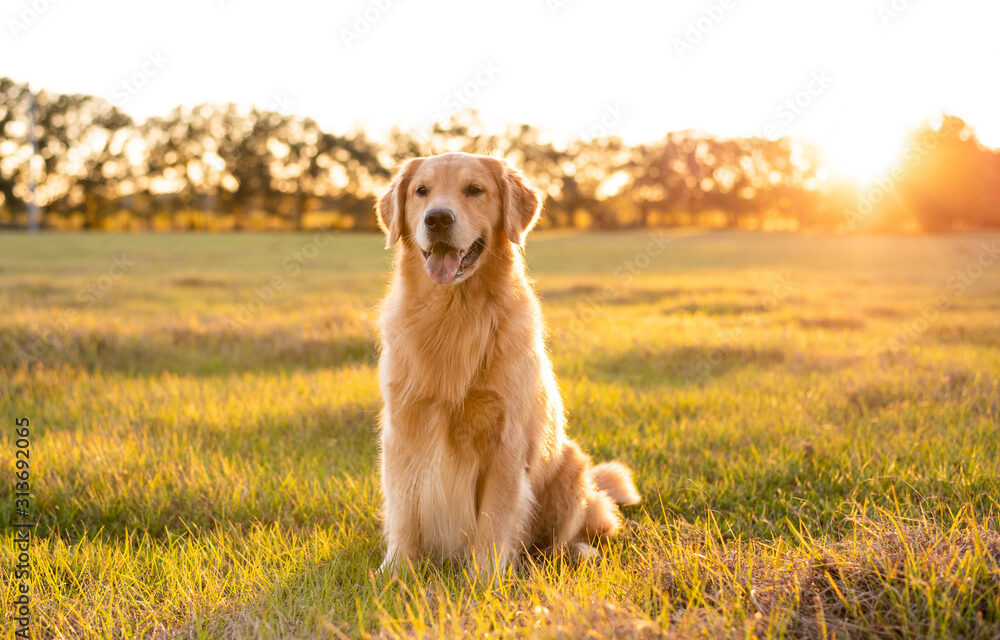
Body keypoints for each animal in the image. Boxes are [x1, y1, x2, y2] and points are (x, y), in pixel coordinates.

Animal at [376, 151, 640, 576]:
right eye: (421, 191)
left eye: (474, 189)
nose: (437, 219)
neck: (454, 314)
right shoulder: (402, 432)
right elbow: (403, 512)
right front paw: (396, 571)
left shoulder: (506, 442)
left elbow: (494, 520)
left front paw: (485, 579)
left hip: (571, 466)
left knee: (569, 535)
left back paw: (578, 552)